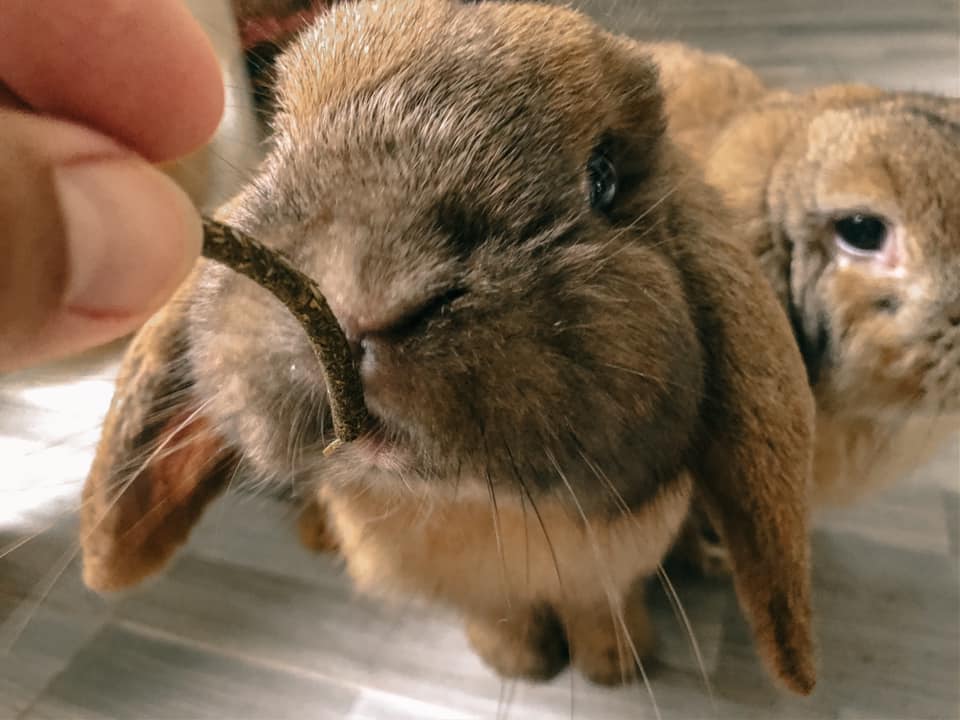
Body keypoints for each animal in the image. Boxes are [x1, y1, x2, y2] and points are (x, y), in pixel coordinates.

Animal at [79, 0, 818, 695]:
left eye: (602, 178)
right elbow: (498, 618)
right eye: (280, 140)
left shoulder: (610, 570)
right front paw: (517, 663)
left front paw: (615, 665)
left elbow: (599, 605)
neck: (472, 509)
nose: (361, 300)